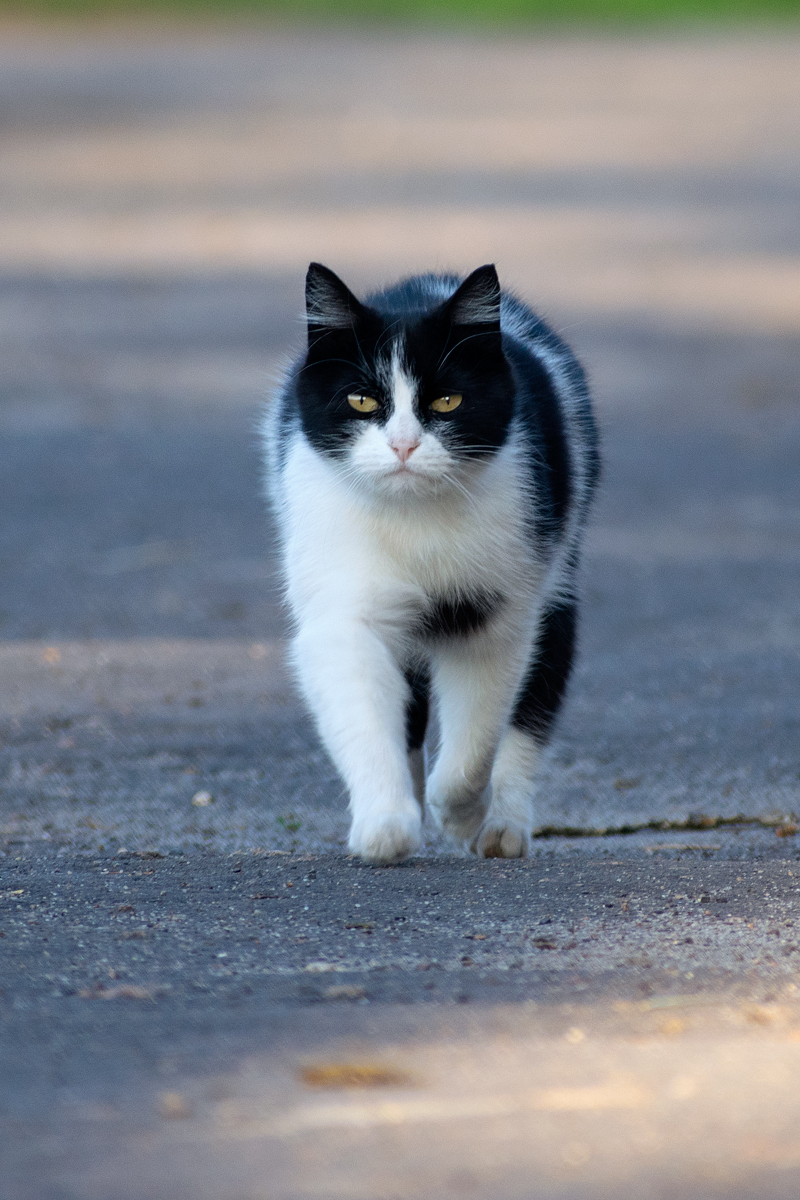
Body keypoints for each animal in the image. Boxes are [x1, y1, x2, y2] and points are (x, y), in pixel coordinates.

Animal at [266, 262, 597, 864]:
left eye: (447, 402)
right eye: (361, 401)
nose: (403, 446)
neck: (415, 519)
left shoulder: (497, 611)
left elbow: (475, 740)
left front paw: (461, 815)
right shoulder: (341, 601)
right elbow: (362, 705)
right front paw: (386, 824)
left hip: (557, 575)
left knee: (533, 700)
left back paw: (503, 827)